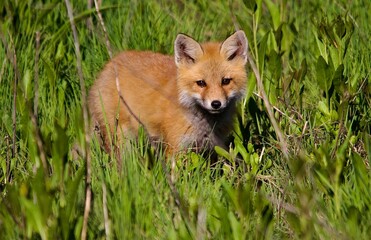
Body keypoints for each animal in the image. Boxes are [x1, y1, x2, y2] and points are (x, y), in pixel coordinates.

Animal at [88, 30, 248, 156]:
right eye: (201, 83)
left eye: (225, 81)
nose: (216, 104)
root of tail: (111, 63)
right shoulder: (176, 147)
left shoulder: (214, 147)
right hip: (121, 137)